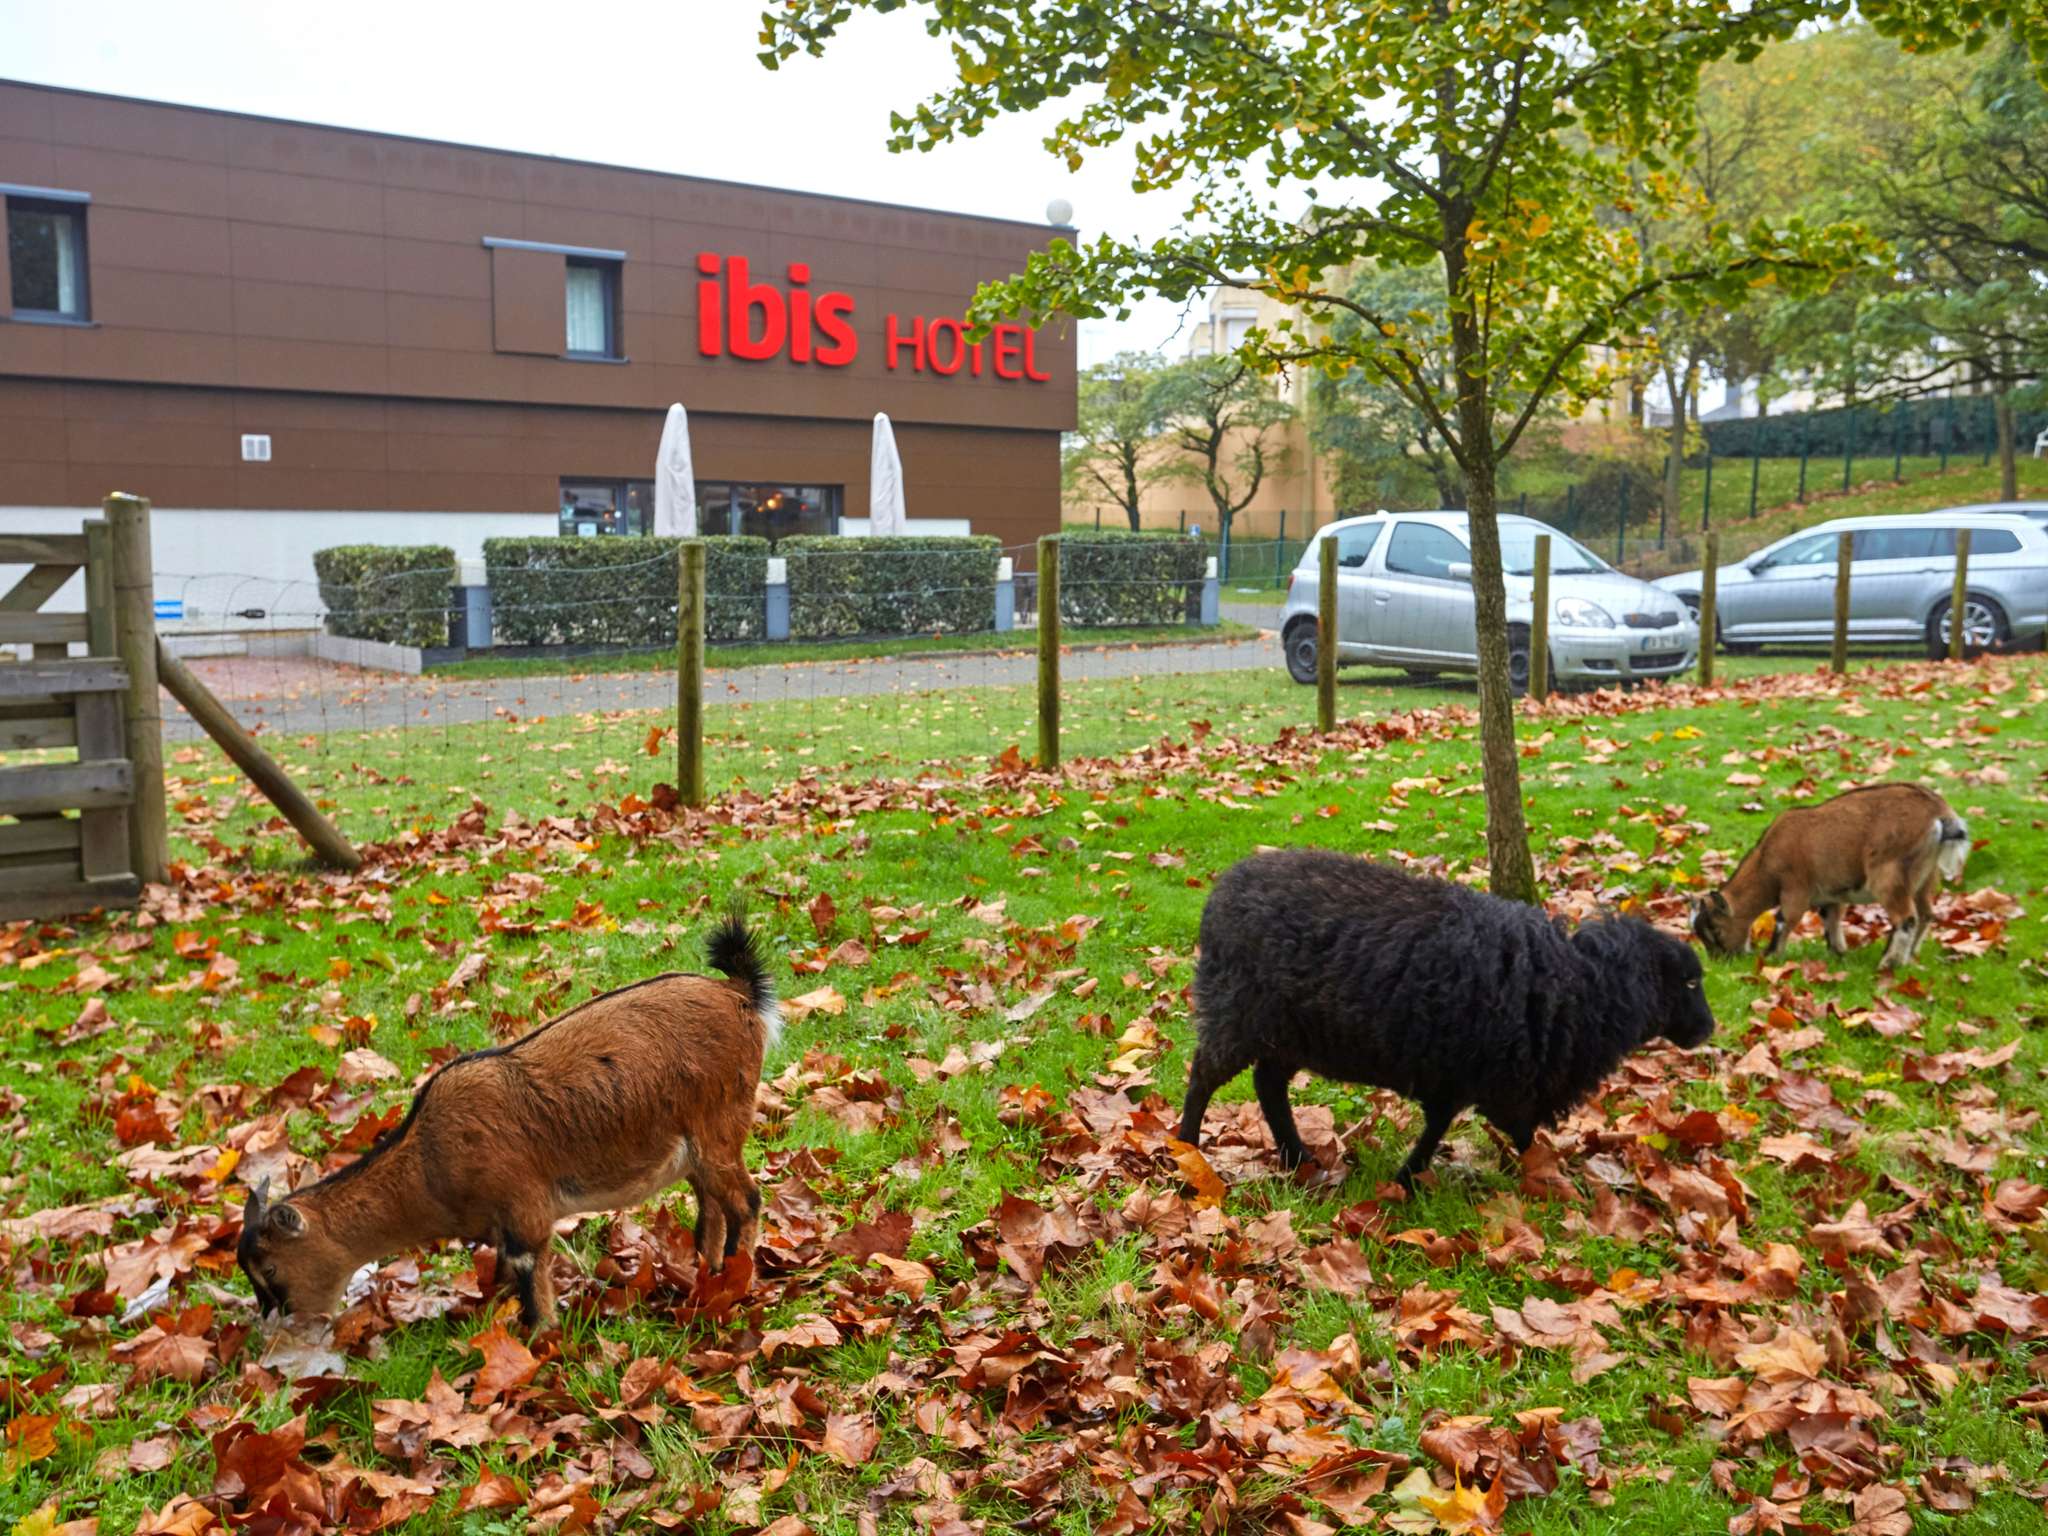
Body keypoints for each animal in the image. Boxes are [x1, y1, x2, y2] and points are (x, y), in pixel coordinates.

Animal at [237, 909, 774, 1327]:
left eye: (271, 1270)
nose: (280, 1322)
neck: (428, 1159)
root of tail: (740, 995)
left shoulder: (522, 1209)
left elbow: (529, 1277)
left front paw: (539, 1340)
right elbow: (501, 1276)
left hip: (719, 1124)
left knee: (745, 1200)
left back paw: (735, 1278)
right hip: (694, 1146)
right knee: (711, 1203)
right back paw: (704, 1270)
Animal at [1179, 856, 1720, 1187]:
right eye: (1690, 982)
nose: (1708, 1030)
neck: (1580, 986)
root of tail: (1221, 890)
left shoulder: (1480, 1079)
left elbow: (1488, 1130)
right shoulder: (1478, 1077)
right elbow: (1454, 1128)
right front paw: (1410, 1179)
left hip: (1289, 1033)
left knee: (1268, 1085)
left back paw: (1297, 1157)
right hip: (1239, 1012)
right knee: (1204, 1075)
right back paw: (1186, 1146)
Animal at [1687, 786, 1974, 966]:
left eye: (1716, 929)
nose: (1722, 961)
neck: (1766, 861)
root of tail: (1940, 814)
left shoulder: (1795, 888)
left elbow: (1784, 919)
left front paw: (1770, 957)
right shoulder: (1832, 895)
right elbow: (1832, 921)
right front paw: (1838, 954)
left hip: (1889, 873)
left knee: (1907, 918)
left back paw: (1888, 963)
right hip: (1926, 876)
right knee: (1926, 914)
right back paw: (1909, 955)